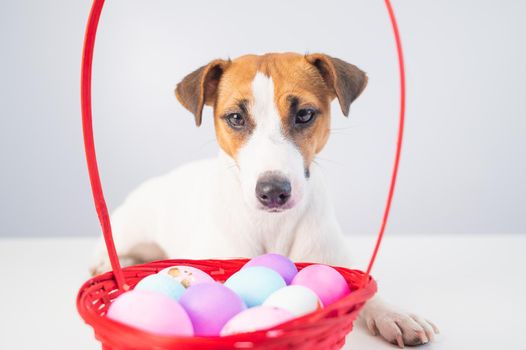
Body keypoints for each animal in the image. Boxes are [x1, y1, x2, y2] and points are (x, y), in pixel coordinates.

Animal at [93, 52, 440, 348]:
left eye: (304, 114)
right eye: (235, 117)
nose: (273, 191)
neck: (274, 225)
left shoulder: (333, 259)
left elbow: (368, 294)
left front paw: (394, 314)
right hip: (131, 224)